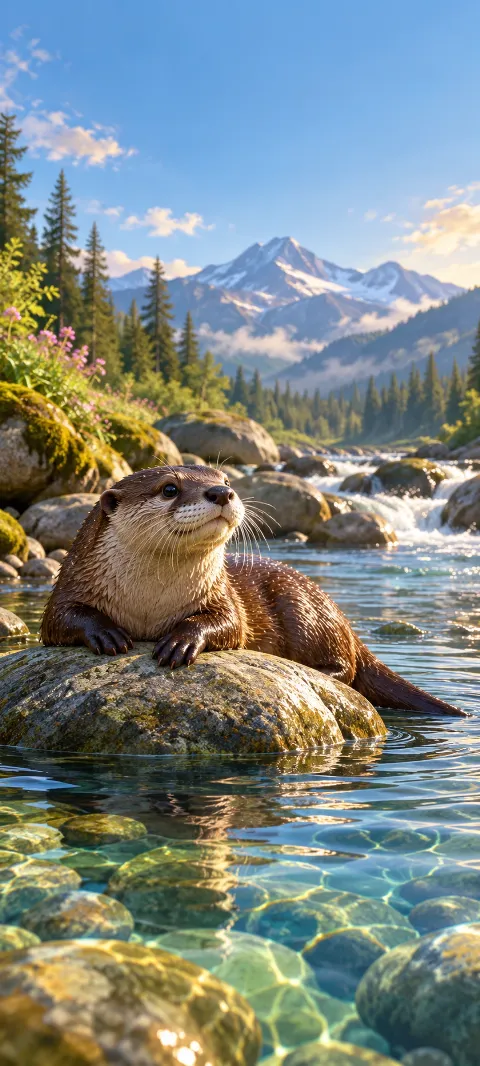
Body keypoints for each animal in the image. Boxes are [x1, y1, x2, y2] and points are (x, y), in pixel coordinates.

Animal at [41, 465, 465, 717]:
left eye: (226, 480)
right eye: (169, 488)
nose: (220, 492)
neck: (150, 603)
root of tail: (342, 617)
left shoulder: (222, 594)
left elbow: (233, 624)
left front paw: (181, 641)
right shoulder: (70, 583)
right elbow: (59, 618)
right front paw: (107, 633)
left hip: (303, 609)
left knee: (347, 667)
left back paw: (318, 669)